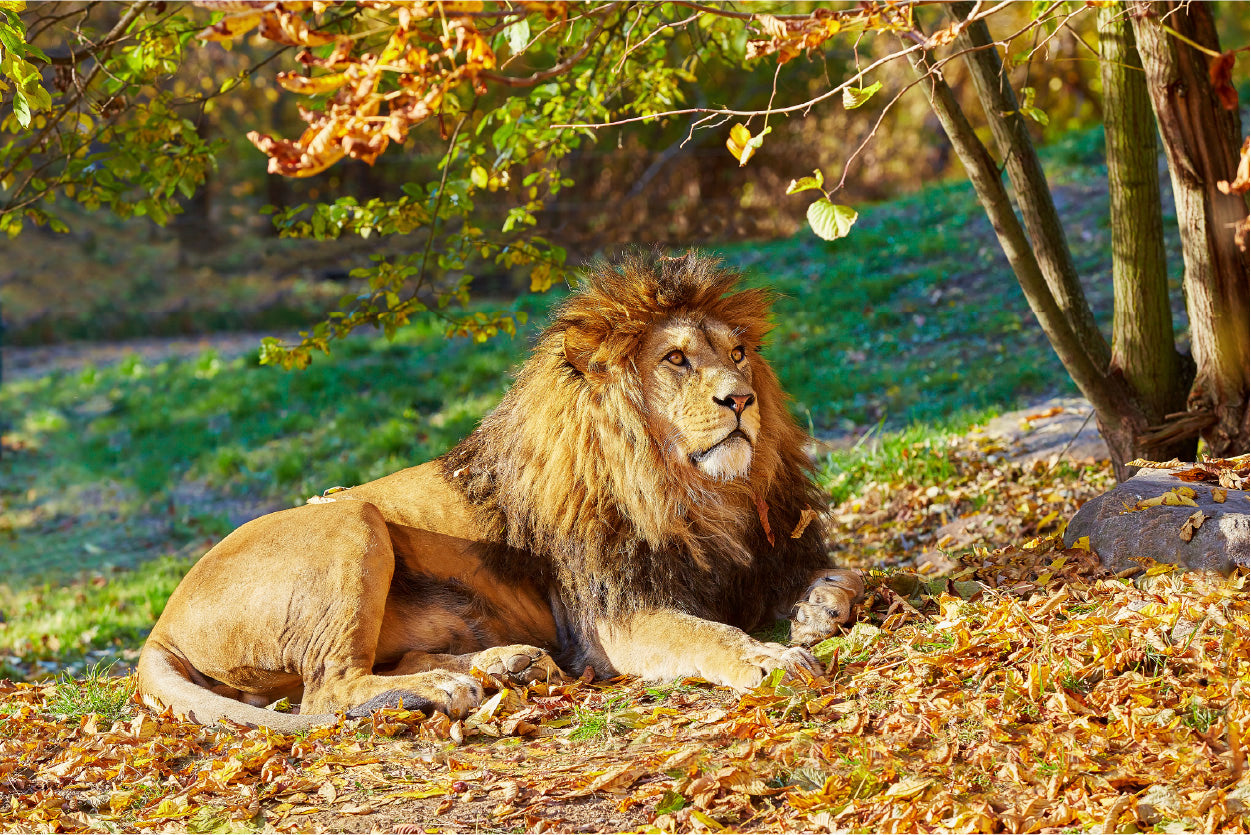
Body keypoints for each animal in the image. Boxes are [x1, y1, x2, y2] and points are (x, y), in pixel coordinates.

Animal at [134, 250, 860, 731]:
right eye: (676, 359)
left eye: (738, 354)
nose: (740, 399)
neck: (697, 492)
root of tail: (159, 623)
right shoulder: (616, 618)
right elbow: (709, 634)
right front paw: (771, 658)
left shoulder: (761, 559)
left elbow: (855, 571)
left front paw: (820, 609)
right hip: (348, 520)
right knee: (325, 690)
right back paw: (441, 689)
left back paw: (504, 665)